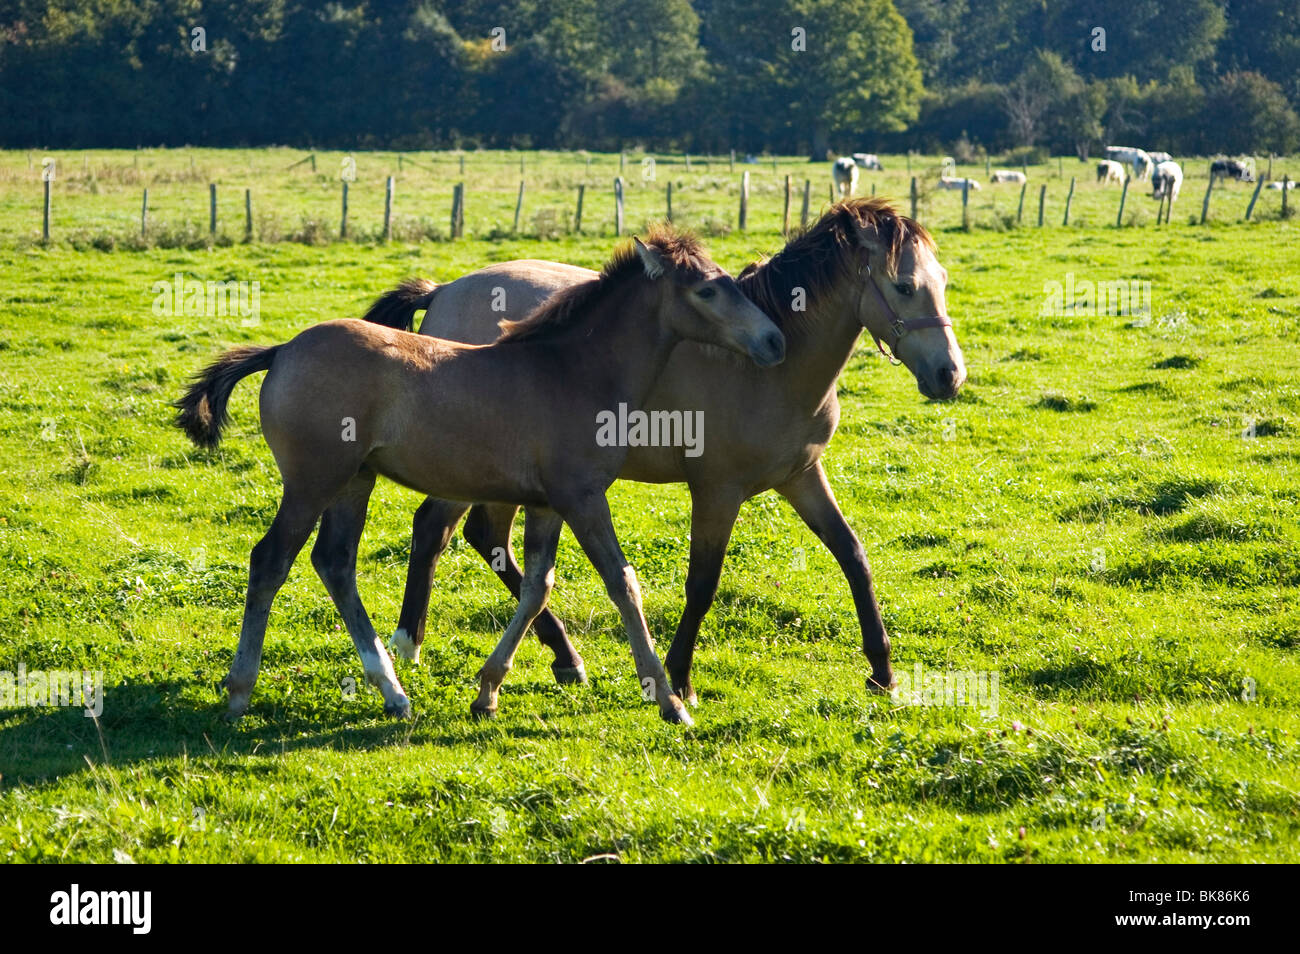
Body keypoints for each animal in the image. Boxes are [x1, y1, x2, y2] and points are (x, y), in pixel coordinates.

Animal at [172, 230, 780, 722]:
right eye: (707, 291)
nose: (774, 341)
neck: (573, 371)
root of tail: (282, 350)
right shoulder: (583, 498)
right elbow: (623, 584)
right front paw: (670, 701)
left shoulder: (547, 504)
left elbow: (537, 586)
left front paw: (488, 692)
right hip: (312, 481)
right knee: (271, 560)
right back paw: (240, 691)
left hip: (353, 481)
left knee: (335, 563)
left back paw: (392, 691)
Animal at [361, 196, 961, 701]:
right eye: (904, 285)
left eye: (943, 280)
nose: (950, 374)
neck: (767, 368)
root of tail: (443, 291)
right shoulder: (717, 491)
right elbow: (702, 583)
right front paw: (679, 677)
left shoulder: (802, 476)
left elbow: (853, 556)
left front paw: (881, 670)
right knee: (440, 529)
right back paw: (415, 643)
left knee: (482, 539)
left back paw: (557, 657)